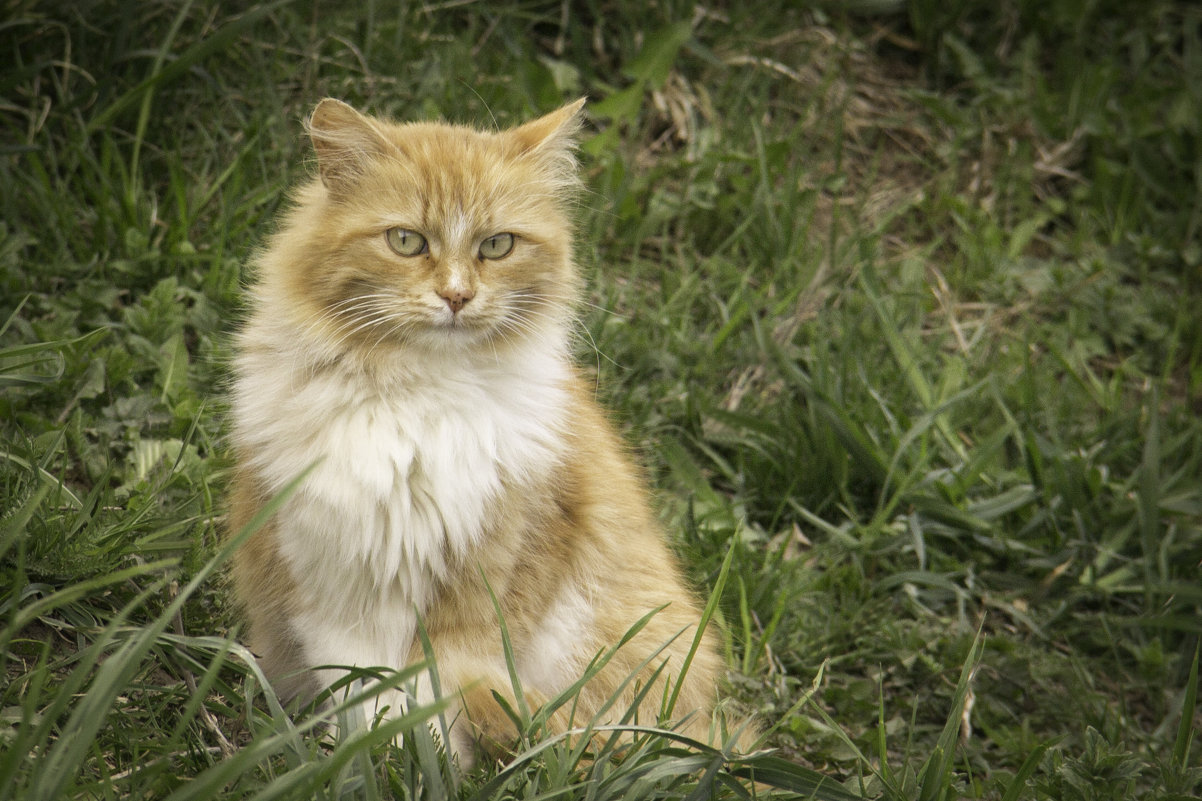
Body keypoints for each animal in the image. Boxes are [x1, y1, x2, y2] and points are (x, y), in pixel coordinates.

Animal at [229, 98, 726, 760]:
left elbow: (432, 692)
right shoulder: (331, 582)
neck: (421, 404)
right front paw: (376, 760)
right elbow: (365, 691)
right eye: (407, 241)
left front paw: (427, 762)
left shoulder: (482, 585)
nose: (457, 296)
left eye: (497, 245)